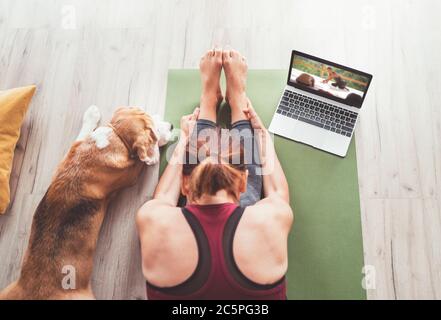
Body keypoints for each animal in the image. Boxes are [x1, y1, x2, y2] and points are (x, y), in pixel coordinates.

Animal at [0, 105, 171, 300]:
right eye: (152, 132)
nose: (172, 126)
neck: (116, 136)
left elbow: (83, 133)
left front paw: (91, 115)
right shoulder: (131, 174)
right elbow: (141, 160)